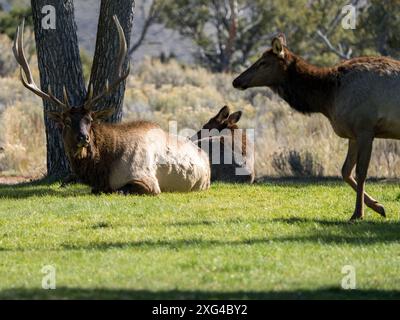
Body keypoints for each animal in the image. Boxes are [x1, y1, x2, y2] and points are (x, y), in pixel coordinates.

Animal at [13, 17, 209, 195]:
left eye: (90, 119)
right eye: (67, 121)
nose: (83, 137)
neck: (103, 169)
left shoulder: (149, 182)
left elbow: (118, 190)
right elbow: (97, 190)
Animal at [233, 33, 400, 221]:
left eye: (263, 62)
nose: (236, 81)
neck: (327, 98)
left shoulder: (365, 128)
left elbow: (361, 172)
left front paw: (358, 213)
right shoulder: (353, 134)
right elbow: (345, 171)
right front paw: (377, 206)